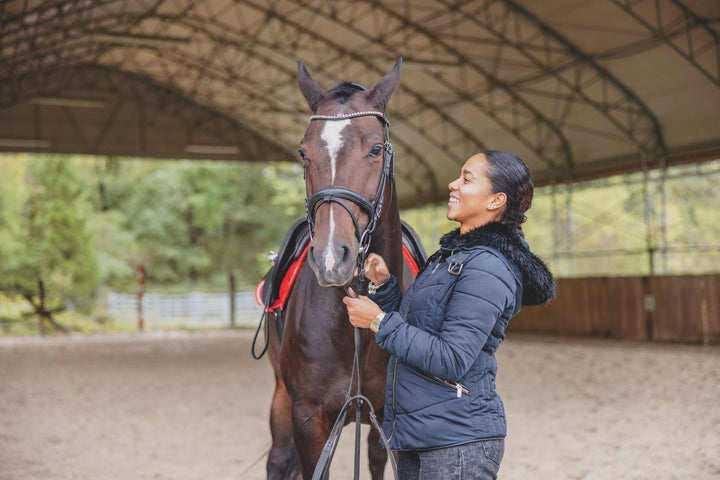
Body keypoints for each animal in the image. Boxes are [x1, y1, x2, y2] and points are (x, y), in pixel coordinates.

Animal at [264, 58, 412, 480]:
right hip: (281, 398)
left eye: (376, 149)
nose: (332, 257)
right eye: (303, 152)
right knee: (277, 461)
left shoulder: (389, 421)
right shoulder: (308, 419)